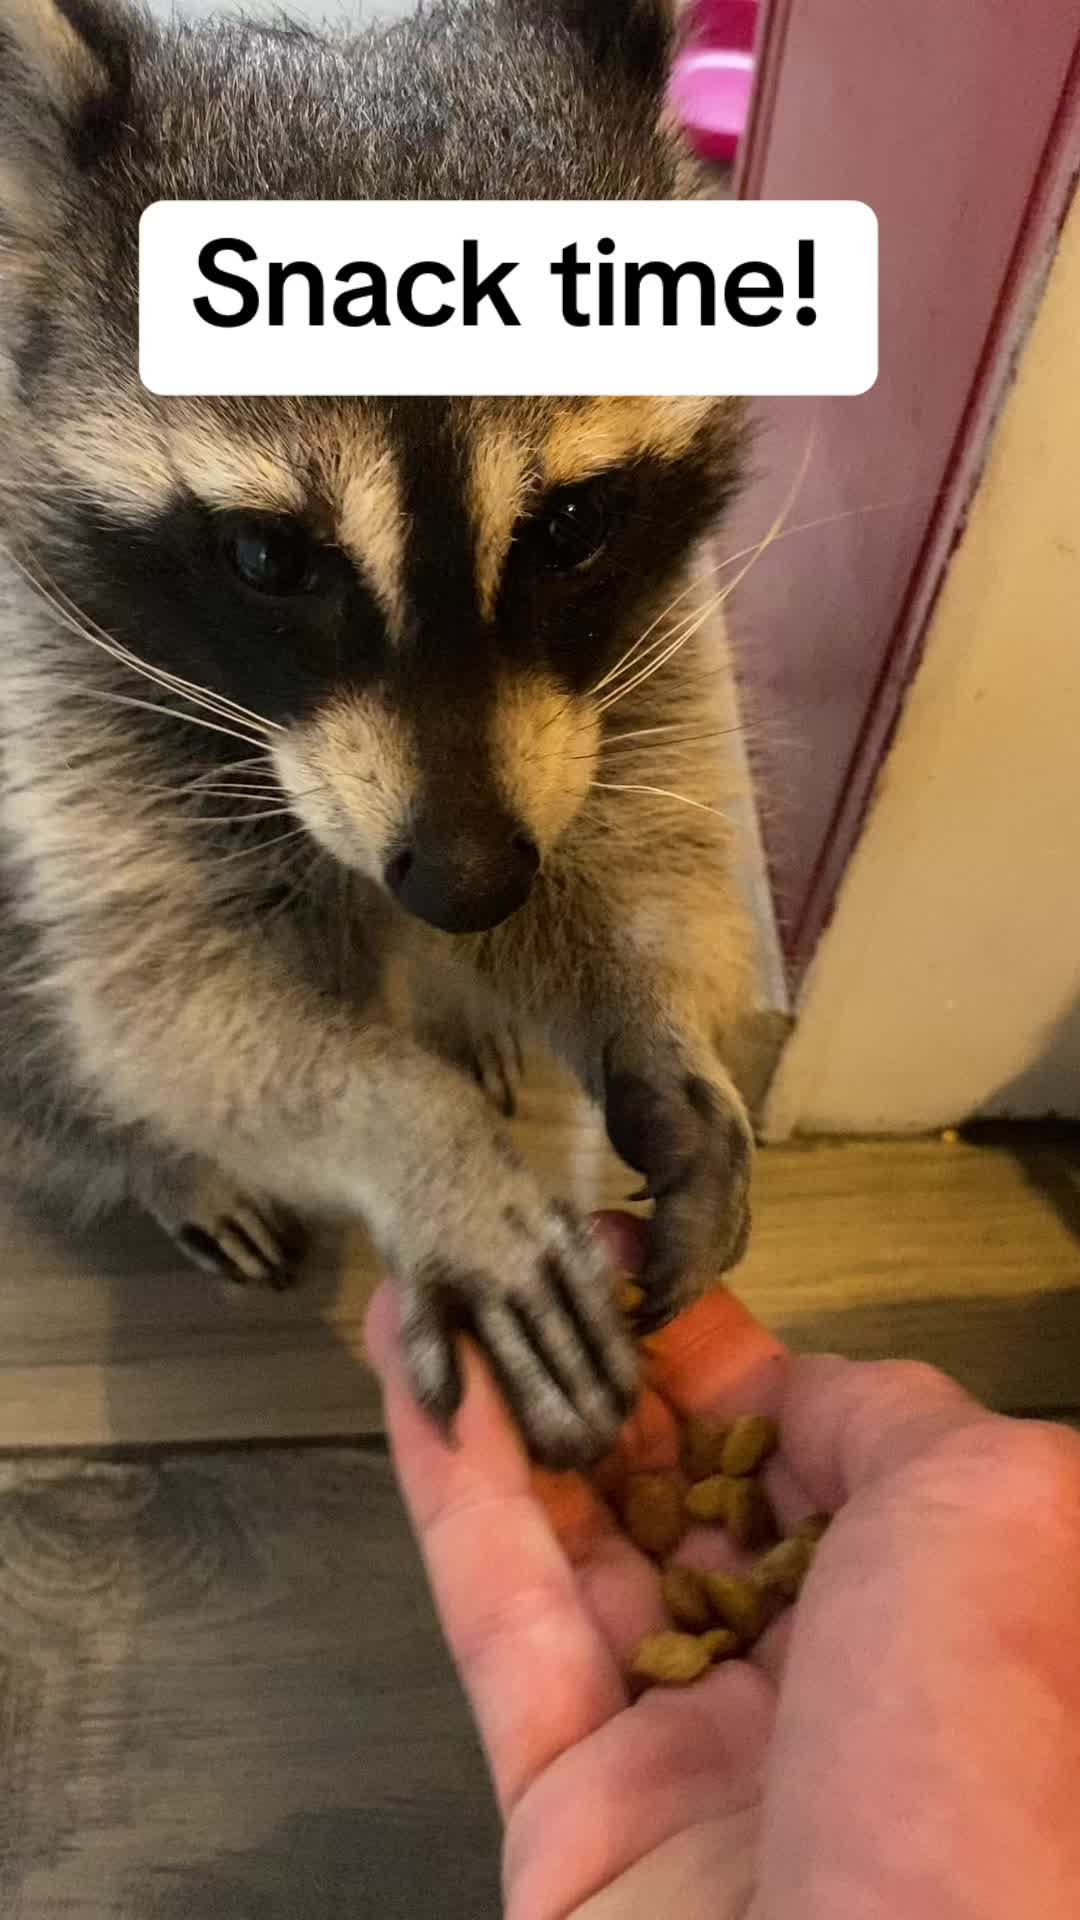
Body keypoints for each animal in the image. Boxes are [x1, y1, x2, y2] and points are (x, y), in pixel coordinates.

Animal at [0, 0, 755, 1467]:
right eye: (268, 558)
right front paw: (419, 1146)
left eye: (570, 527)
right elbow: (171, 1003)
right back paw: (163, 1164)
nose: (465, 884)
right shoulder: (60, 666)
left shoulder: (637, 647)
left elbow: (635, 826)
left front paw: (664, 1031)